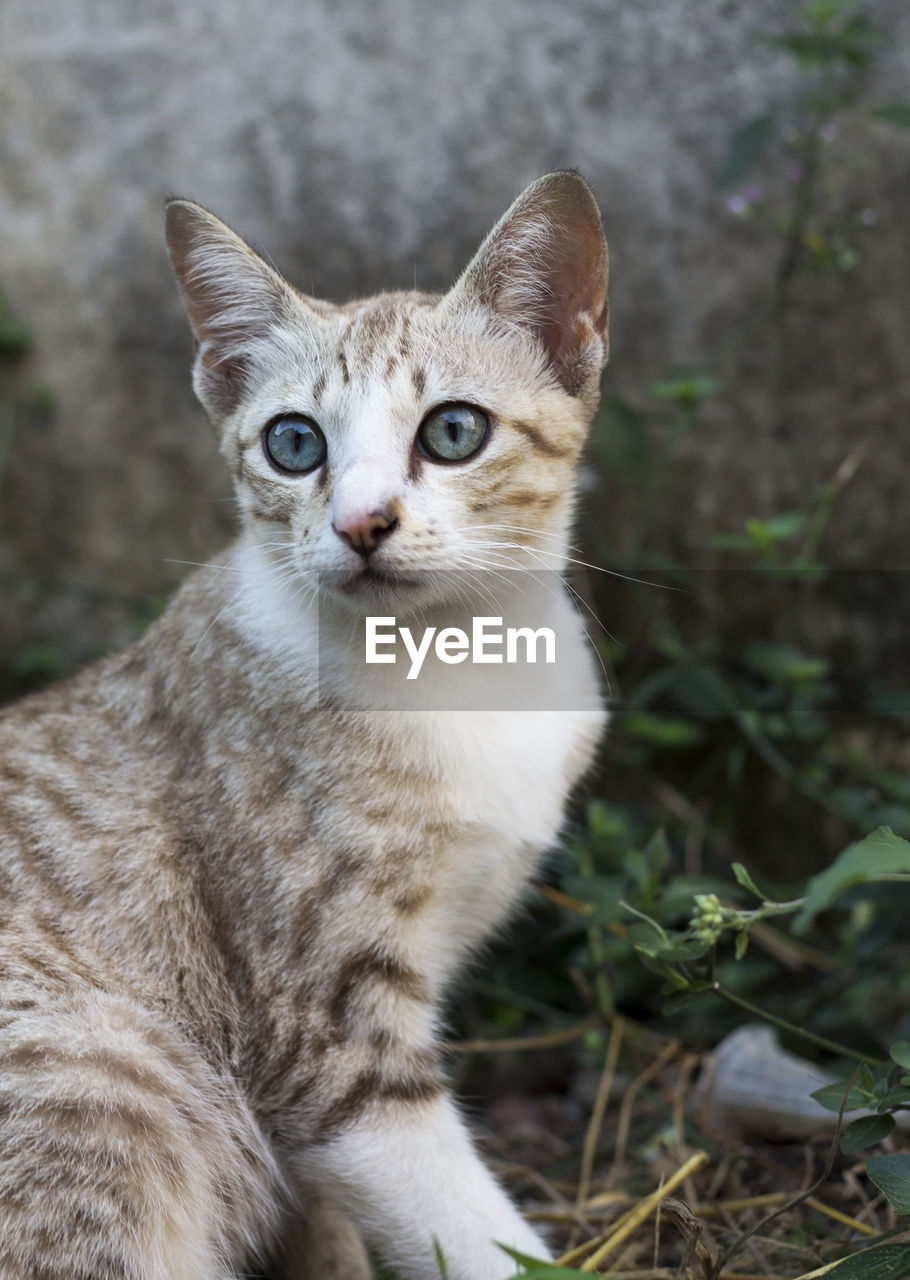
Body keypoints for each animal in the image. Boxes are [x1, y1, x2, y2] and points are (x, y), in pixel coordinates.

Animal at [1, 172, 611, 1280]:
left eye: (453, 432)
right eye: (295, 444)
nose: (361, 522)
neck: (454, 663)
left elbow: (325, 1216)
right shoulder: (325, 1039)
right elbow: (469, 1228)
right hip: (98, 1080)